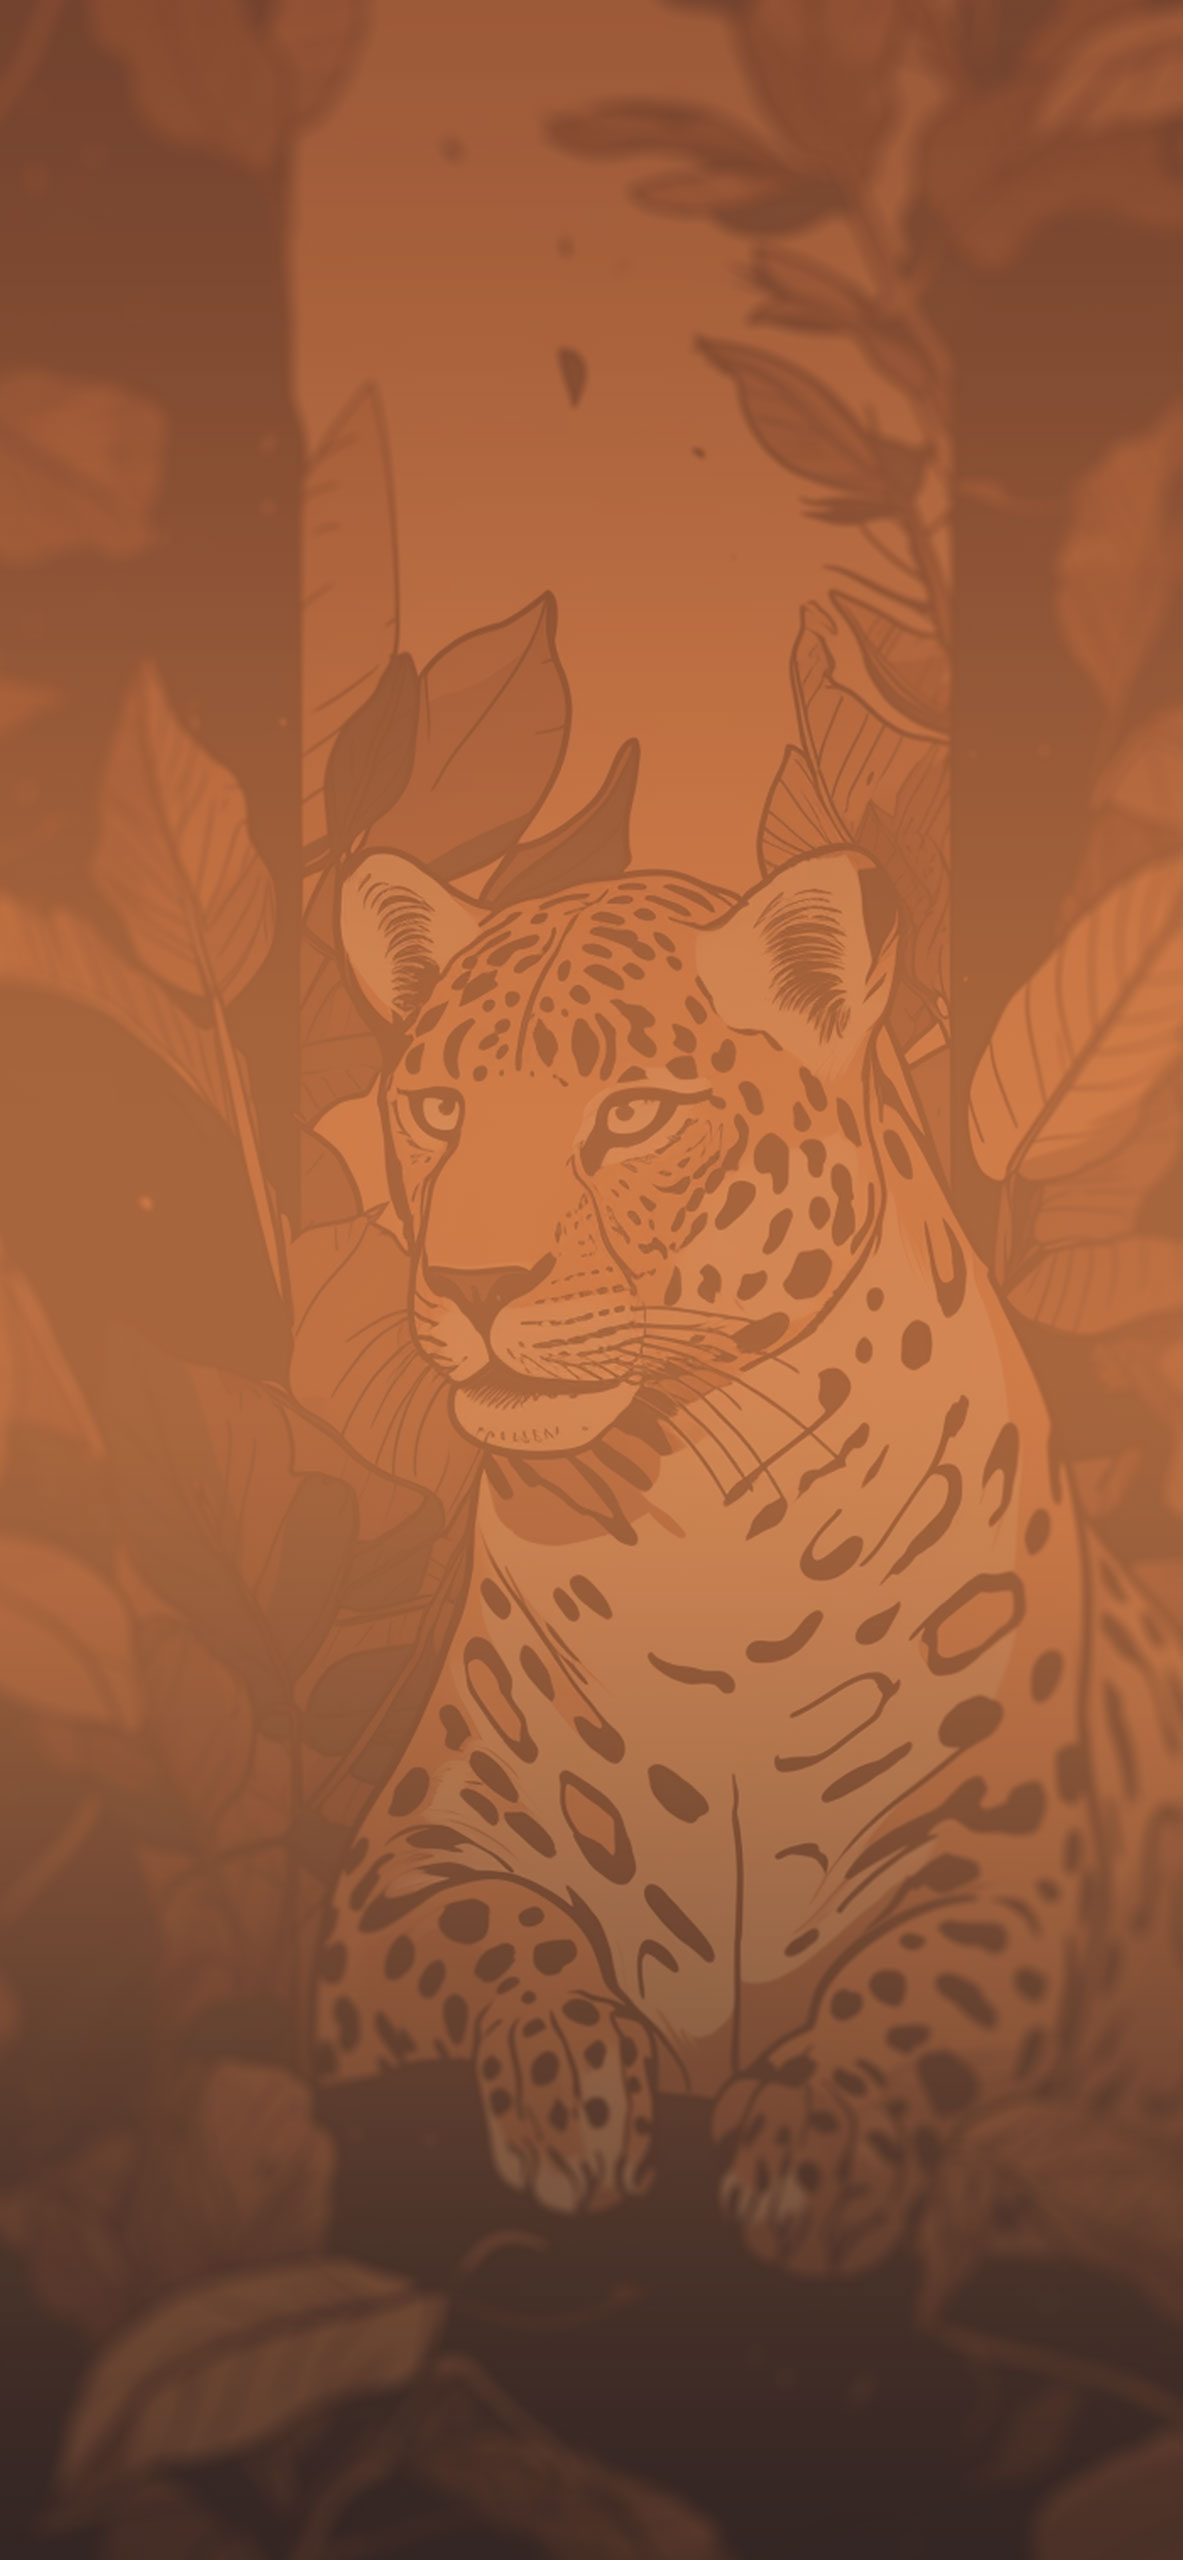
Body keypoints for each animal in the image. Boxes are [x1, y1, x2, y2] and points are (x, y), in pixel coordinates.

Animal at [316, 841, 1183, 2280]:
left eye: (631, 1114)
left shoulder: (1003, 1877)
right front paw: (567, 2079)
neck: (702, 1531)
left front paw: (817, 2139)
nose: (474, 1283)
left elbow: (906, 1993)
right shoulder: (399, 1862)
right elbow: (501, 1930)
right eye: (436, 1107)